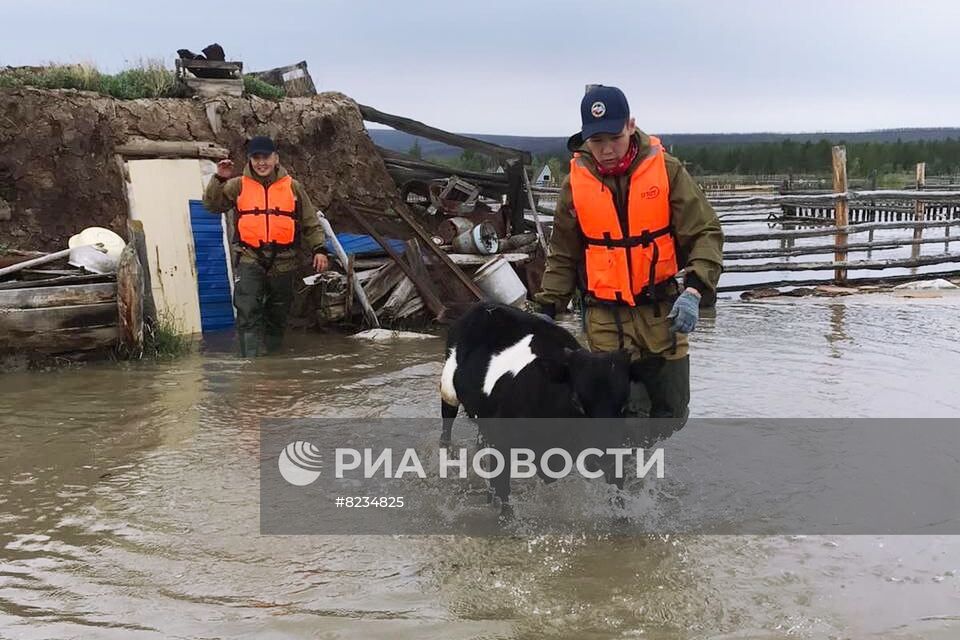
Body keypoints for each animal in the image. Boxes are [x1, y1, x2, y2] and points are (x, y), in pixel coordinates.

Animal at [442, 302, 644, 516]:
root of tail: (484, 305)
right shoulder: (501, 443)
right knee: (446, 429)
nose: (604, 456)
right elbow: (504, 499)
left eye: (625, 404)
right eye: (576, 401)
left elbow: (618, 493)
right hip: (448, 393)